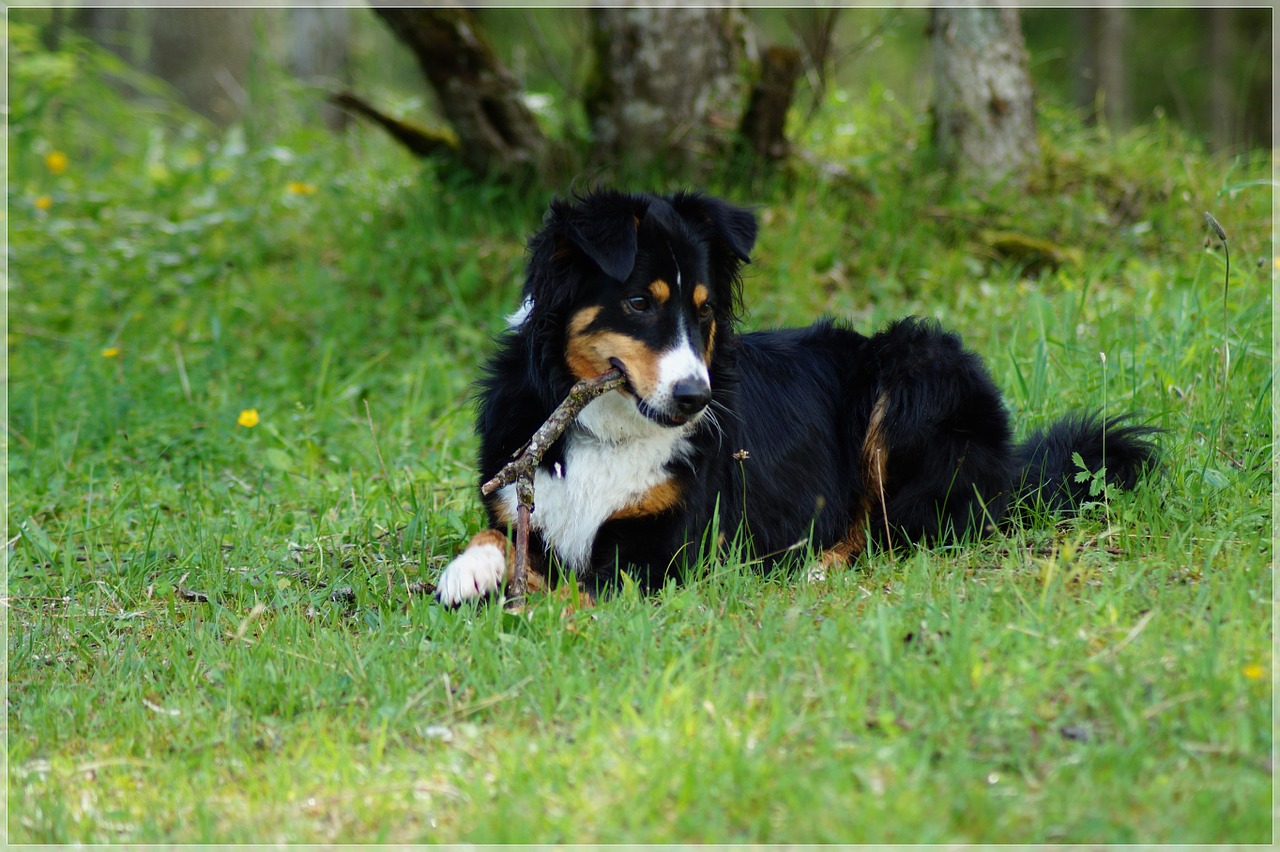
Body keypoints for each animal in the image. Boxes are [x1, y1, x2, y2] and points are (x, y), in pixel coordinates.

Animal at [432, 188, 1162, 603]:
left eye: (703, 311)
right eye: (639, 302)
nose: (696, 398)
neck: (607, 427)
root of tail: (1011, 463)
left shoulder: (657, 553)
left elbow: (569, 592)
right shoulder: (523, 503)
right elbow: (498, 536)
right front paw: (468, 571)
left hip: (912, 368)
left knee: (901, 530)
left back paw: (815, 566)